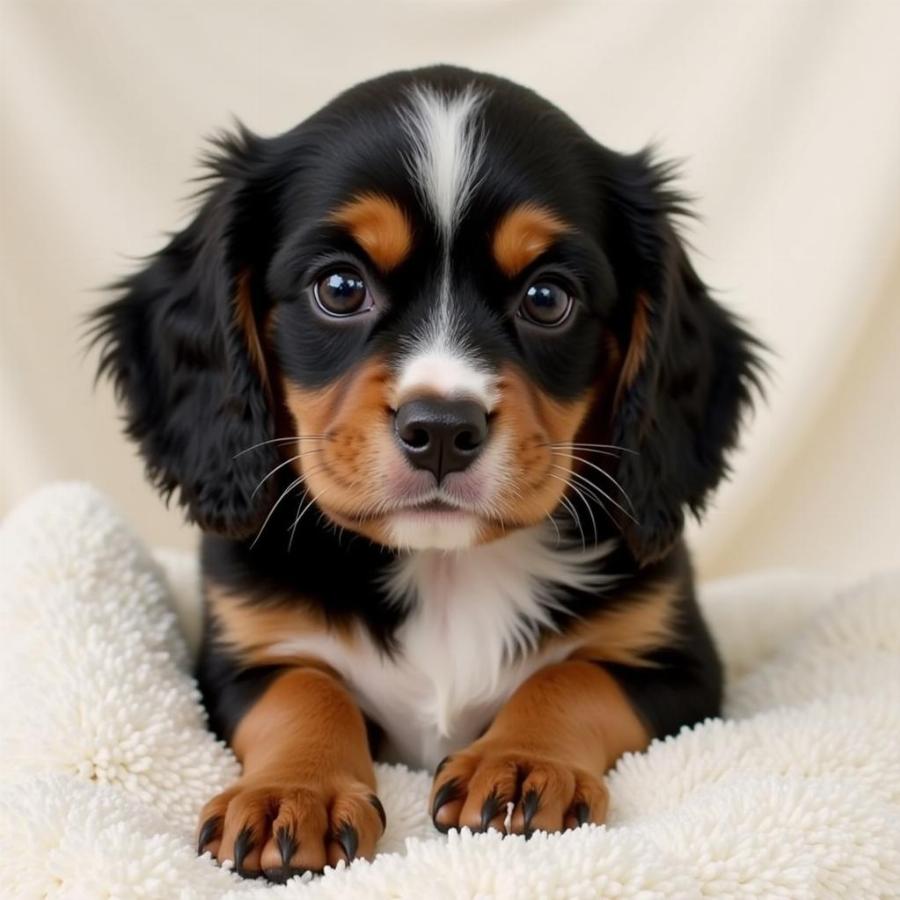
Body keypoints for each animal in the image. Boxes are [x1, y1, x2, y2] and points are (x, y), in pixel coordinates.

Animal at [95, 67, 760, 884]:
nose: (441, 430)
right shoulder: (239, 654)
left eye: (547, 298)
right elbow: (303, 689)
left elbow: (574, 677)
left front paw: (519, 762)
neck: (445, 569)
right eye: (340, 288)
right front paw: (295, 792)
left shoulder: (680, 664)